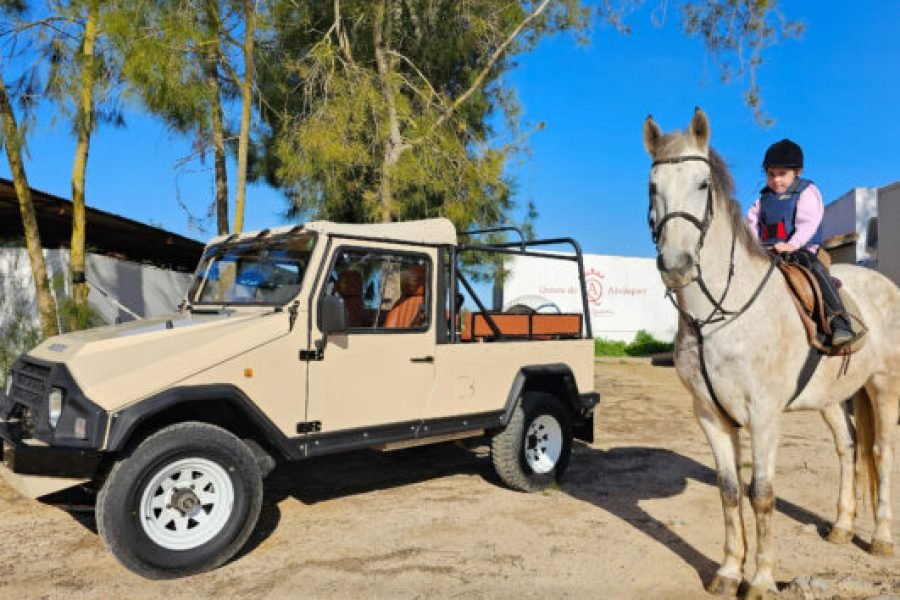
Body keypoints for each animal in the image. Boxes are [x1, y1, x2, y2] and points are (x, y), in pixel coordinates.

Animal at [642, 108, 899, 599]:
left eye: (702, 185)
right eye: (653, 187)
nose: (676, 266)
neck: (717, 319)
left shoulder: (763, 415)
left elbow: (762, 495)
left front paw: (759, 580)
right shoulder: (710, 415)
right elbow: (729, 490)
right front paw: (728, 571)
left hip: (883, 387)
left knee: (880, 451)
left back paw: (880, 538)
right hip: (834, 398)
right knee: (848, 448)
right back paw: (842, 527)